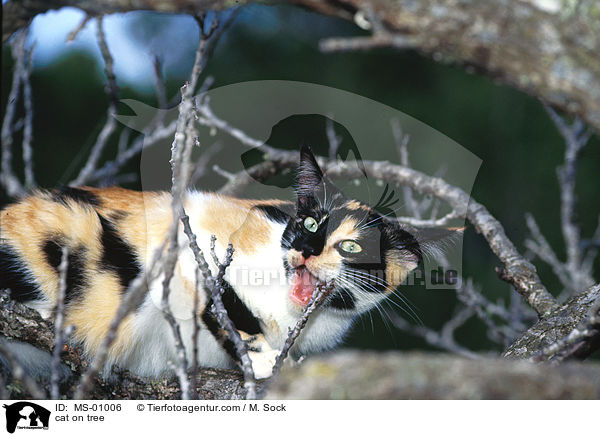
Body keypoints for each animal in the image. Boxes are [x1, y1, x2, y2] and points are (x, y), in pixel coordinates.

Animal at [1, 146, 460, 378]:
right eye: (310, 222)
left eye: (351, 248)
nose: (307, 249)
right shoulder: (192, 235)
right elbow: (223, 306)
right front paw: (260, 356)